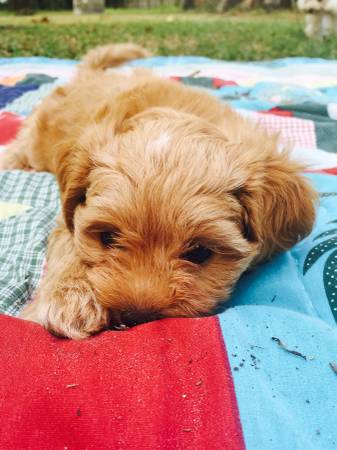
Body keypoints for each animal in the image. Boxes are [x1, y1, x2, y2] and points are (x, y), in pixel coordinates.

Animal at [1, 44, 316, 340]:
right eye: (107, 237)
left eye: (199, 252)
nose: (135, 317)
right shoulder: (68, 214)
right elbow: (68, 243)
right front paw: (69, 296)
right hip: (37, 138)